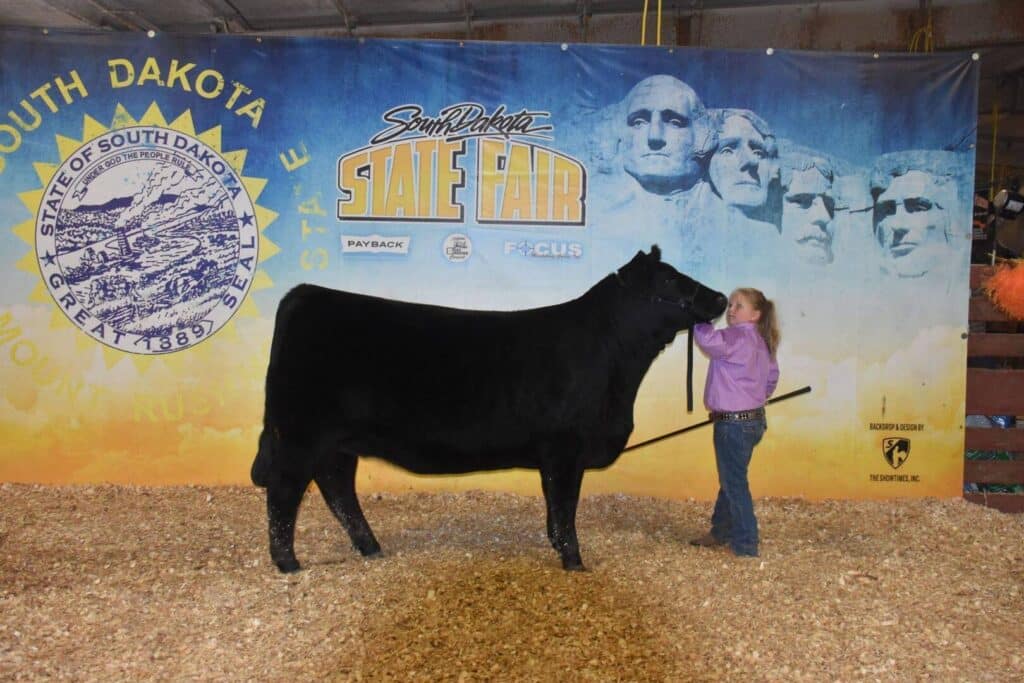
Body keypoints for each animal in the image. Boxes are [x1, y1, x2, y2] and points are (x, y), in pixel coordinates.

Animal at [251, 246, 727, 572]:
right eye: (668, 281)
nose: (721, 298)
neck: (613, 358)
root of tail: (304, 295)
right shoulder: (565, 448)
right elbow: (565, 507)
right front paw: (574, 561)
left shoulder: (556, 454)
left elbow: (556, 509)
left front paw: (561, 550)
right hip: (300, 434)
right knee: (285, 492)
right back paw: (287, 562)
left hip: (337, 442)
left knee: (336, 488)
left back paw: (370, 547)